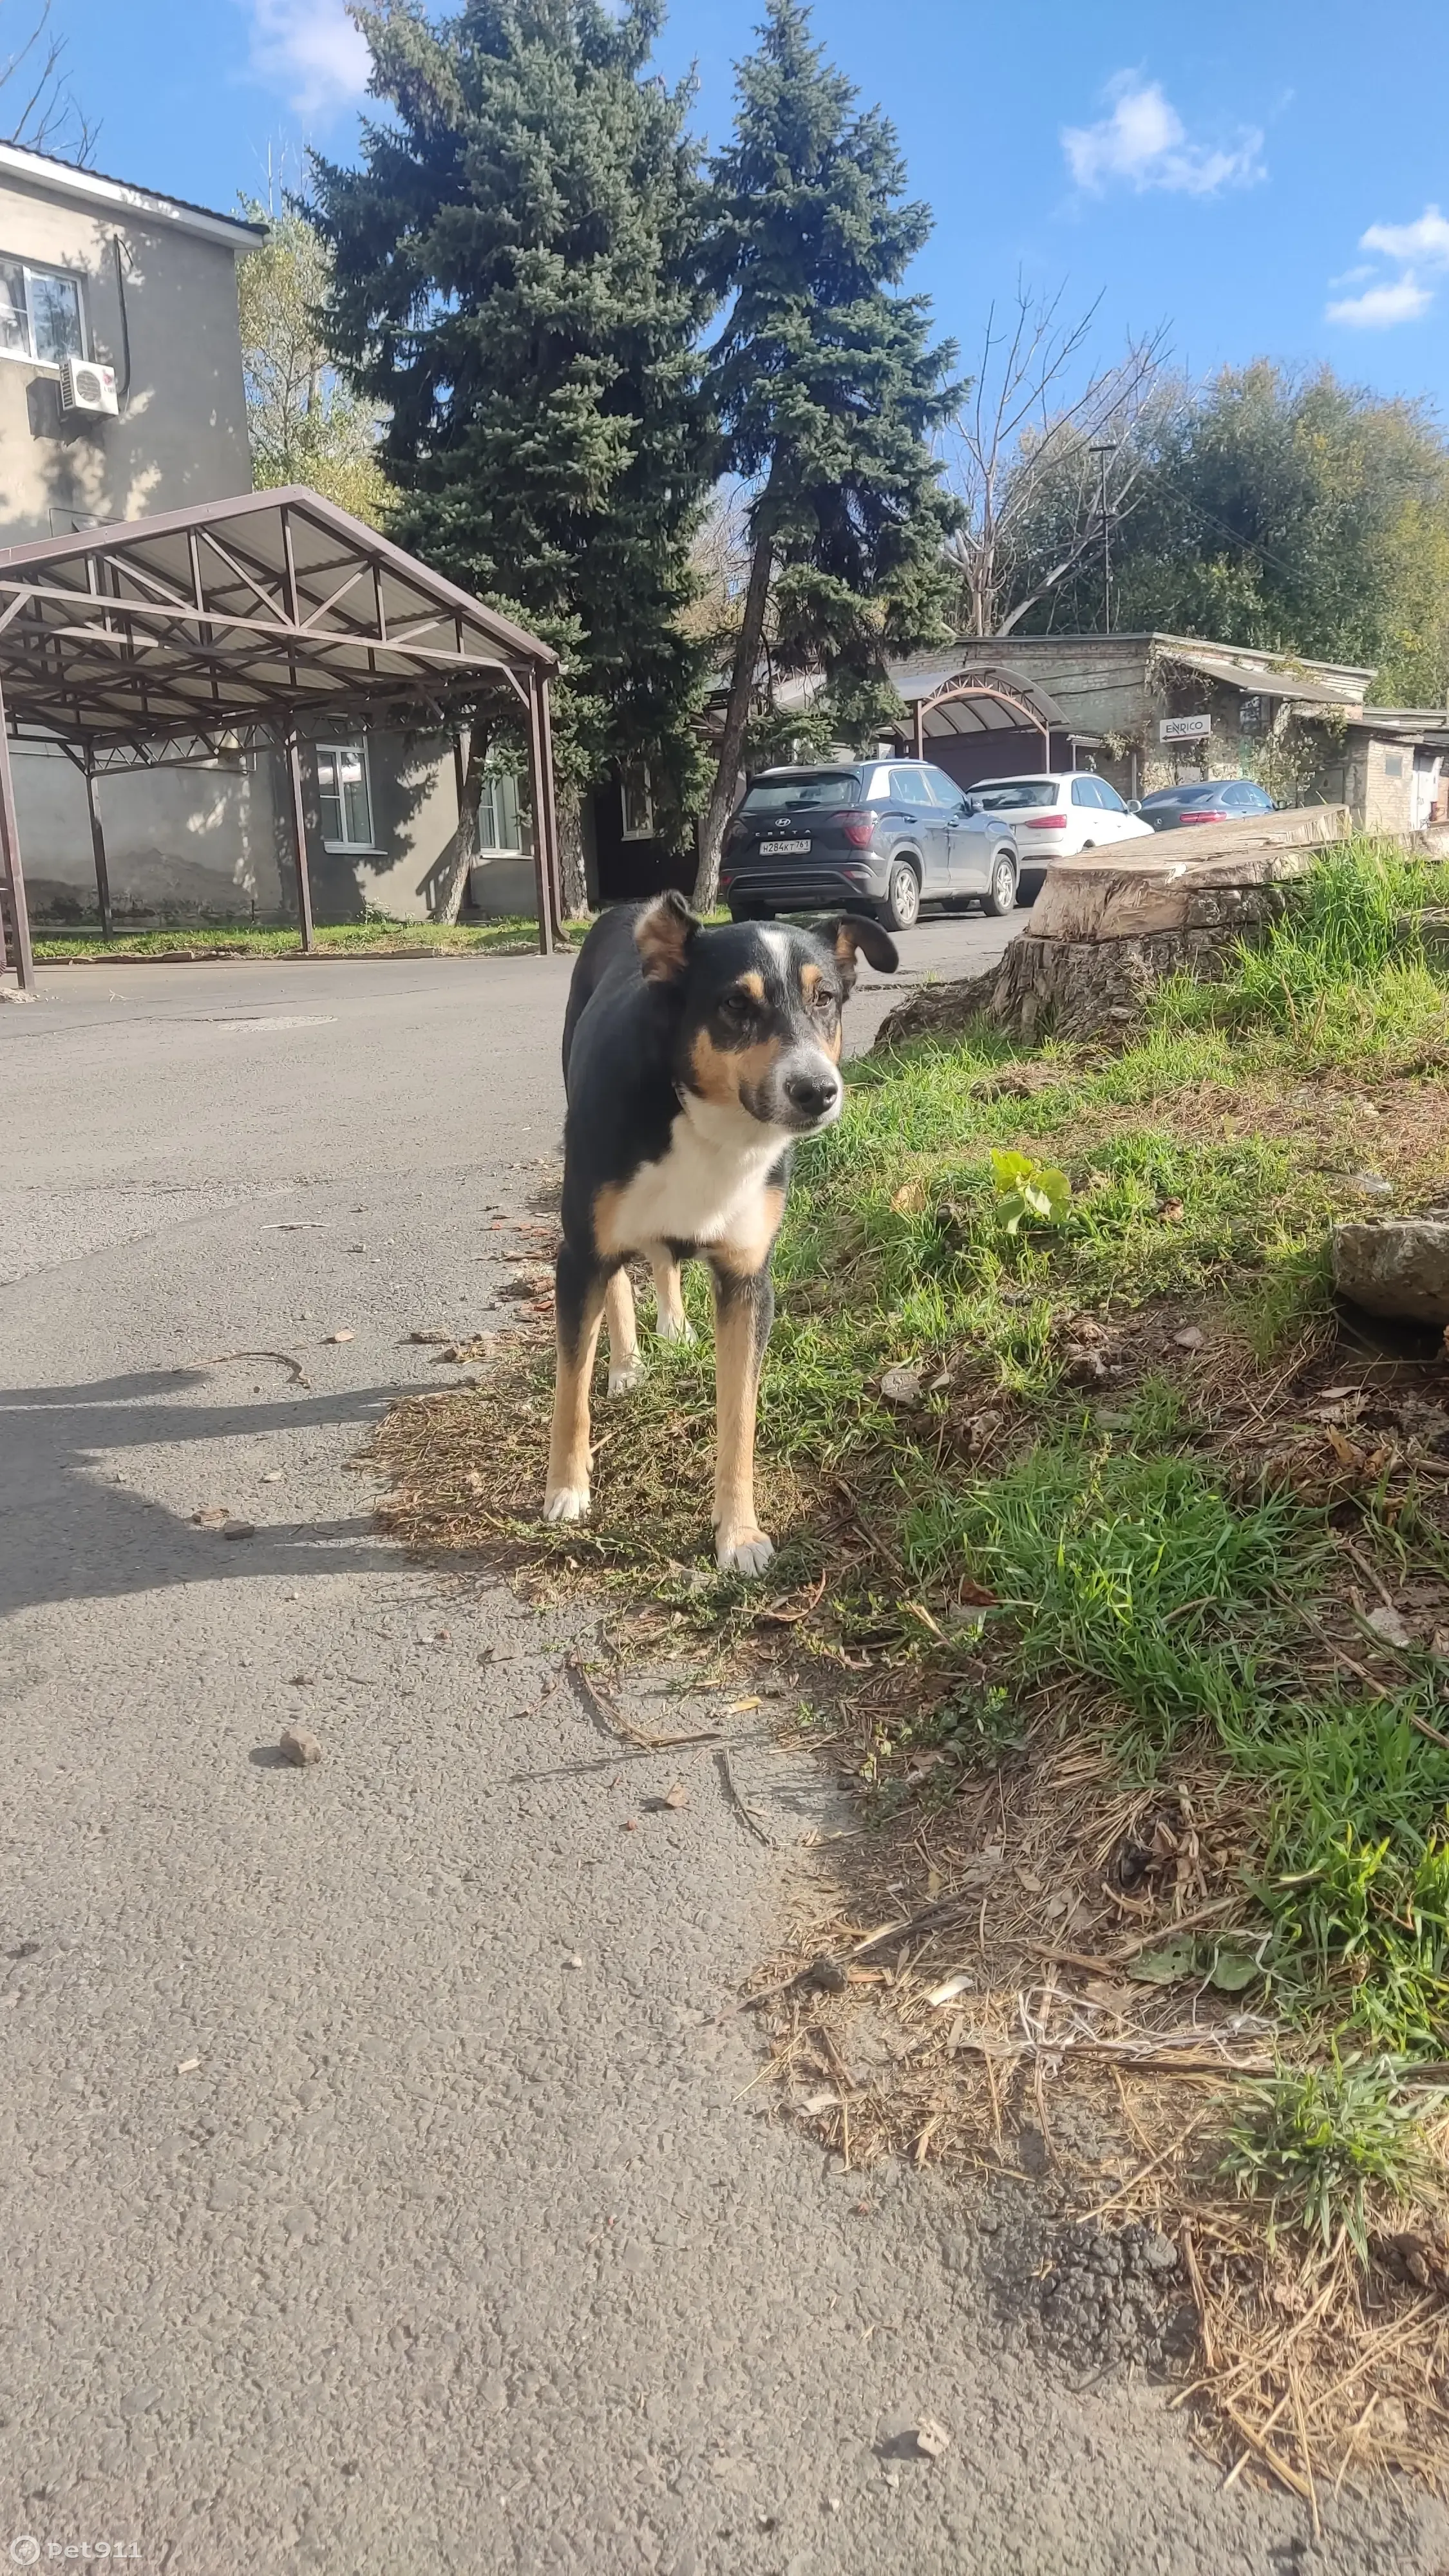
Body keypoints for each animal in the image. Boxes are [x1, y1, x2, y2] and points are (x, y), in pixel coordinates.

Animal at [546, 886, 892, 1566]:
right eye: (736, 1003)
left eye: (825, 998)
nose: (818, 1090)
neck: (707, 1123)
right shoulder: (576, 1260)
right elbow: (570, 1387)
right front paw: (567, 1488)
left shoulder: (748, 1281)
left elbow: (740, 1418)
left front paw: (739, 1533)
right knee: (620, 1277)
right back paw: (626, 1364)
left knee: (660, 1256)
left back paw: (673, 1324)